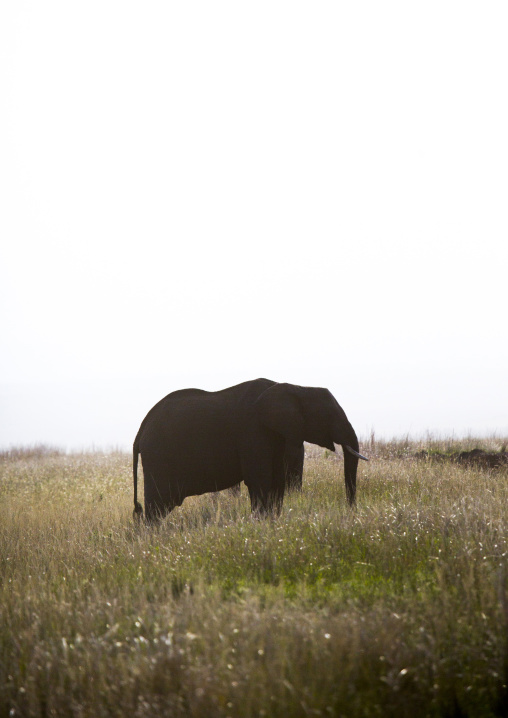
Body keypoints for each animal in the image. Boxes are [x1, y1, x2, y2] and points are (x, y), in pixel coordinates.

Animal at [133, 378, 367, 522]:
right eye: (330, 416)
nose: (351, 510)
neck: (295, 387)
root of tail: (140, 429)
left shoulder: (279, 436)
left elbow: (277, 482)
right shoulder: (253, 433)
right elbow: (260, 480)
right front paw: (262, 523)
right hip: (158, 457)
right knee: (156, 506)